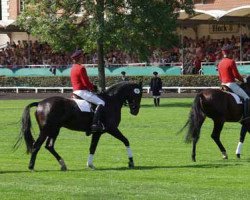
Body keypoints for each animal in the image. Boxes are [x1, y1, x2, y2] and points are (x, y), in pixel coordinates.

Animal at [14, 81, 143, 170]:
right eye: (139, 94)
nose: (135, 111)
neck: (111, 101)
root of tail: (40, 103)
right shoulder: (112, 129)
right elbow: (126, 141)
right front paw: (131, 162)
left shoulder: (98, 133)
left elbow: (92, 147)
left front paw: (90, 165)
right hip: (46, 130)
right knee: (37, 146)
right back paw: (31, 167)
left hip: (55, 130)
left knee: (49, 146)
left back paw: (62, 164)